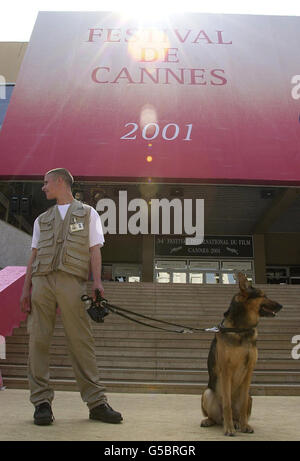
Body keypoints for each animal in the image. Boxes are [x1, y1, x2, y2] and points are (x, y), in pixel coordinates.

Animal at [202, 274, 282, 434]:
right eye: (264, 295)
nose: (282, 306)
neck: (241, 329)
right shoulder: (225, 370)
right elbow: (227, 403)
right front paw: (229, 429)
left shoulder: (249, 371)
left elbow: (243, 404)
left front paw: (245, 425)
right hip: (207, 393)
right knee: (216, 416)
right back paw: (214, 421)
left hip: (250, 396)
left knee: (238, 412)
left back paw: (238, 423)